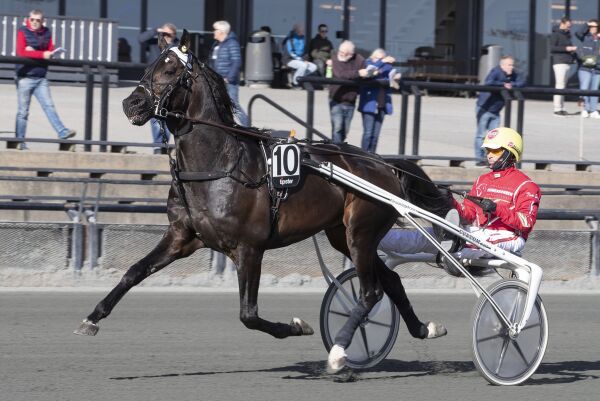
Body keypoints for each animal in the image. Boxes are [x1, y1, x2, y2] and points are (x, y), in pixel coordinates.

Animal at [74, 31, 450, 372]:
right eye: (149, 64)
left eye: (169, 69)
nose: (131, 104)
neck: (218, 164)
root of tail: (384, 164)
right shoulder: (182, 237)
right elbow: (134, 272)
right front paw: (91, 318)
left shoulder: (249, 248)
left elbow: (249, 315)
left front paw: (297, 326)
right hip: (344, 236)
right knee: (390, 281)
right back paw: (424, 328)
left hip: (361, 232)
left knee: (370, 293)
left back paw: (340, 352)